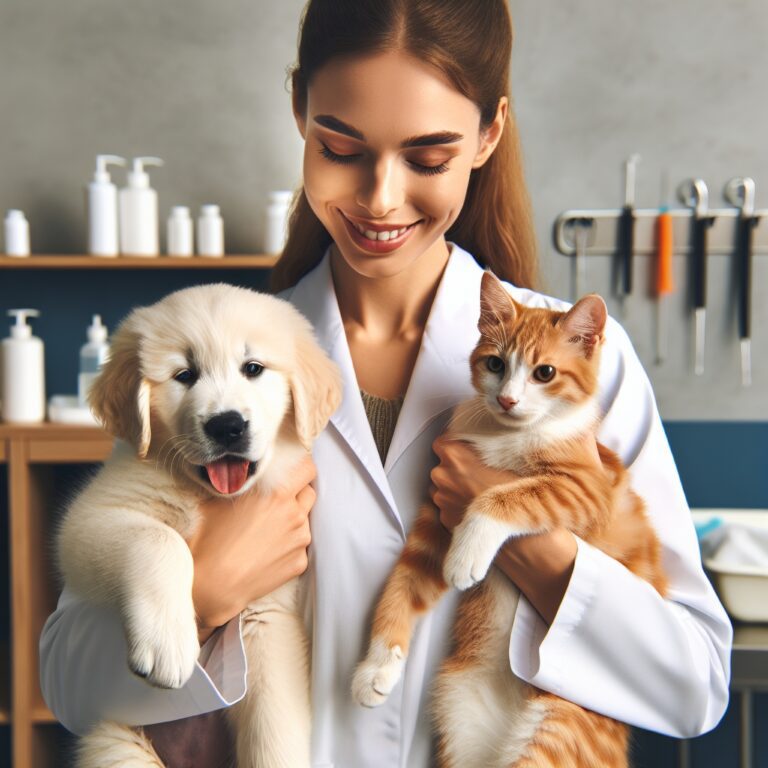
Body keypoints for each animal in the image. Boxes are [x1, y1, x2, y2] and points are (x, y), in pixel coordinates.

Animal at [55, 284, 340, 768]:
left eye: (253, 368)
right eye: (184, 375)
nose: (227, 426)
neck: (208, 495)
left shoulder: (266, 616)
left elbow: (274, 733)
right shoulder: (90, 517)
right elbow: (160, 538)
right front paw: (167, 642)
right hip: (116, 745)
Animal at [352, 272, 664, 768]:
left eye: (545, 373)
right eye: (496, 364)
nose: (507, 399)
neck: (506, 436)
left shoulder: (587, 488)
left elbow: (506, 495)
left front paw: (468, 552)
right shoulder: (436, 515)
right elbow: (405, 580)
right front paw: (378, 664)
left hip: (558, 729)